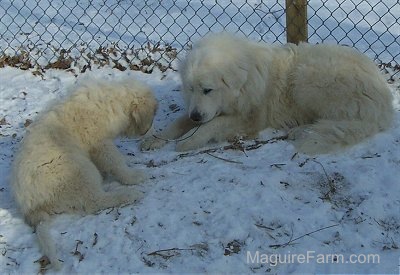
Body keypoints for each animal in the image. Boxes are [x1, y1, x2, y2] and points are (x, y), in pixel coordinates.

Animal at [11, 77, 158, 270]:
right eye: (153, 116)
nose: (153, 133)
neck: (110, 102)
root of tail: (30, 208)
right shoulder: (100, 144)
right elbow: (115, 162)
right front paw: (133, 176)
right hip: (79, 170)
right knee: (95, 201)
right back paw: (129, 194)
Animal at [141, 33, 394, 154]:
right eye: (190, 89)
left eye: (208, 90)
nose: (195, 116)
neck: (243, 83)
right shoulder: (207, 110)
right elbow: (178, 122)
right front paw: (155, 139)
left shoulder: (248, 118)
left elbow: (210, 126)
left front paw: (188, 140)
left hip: (306, 78)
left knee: (338, 120)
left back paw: (302, 131)